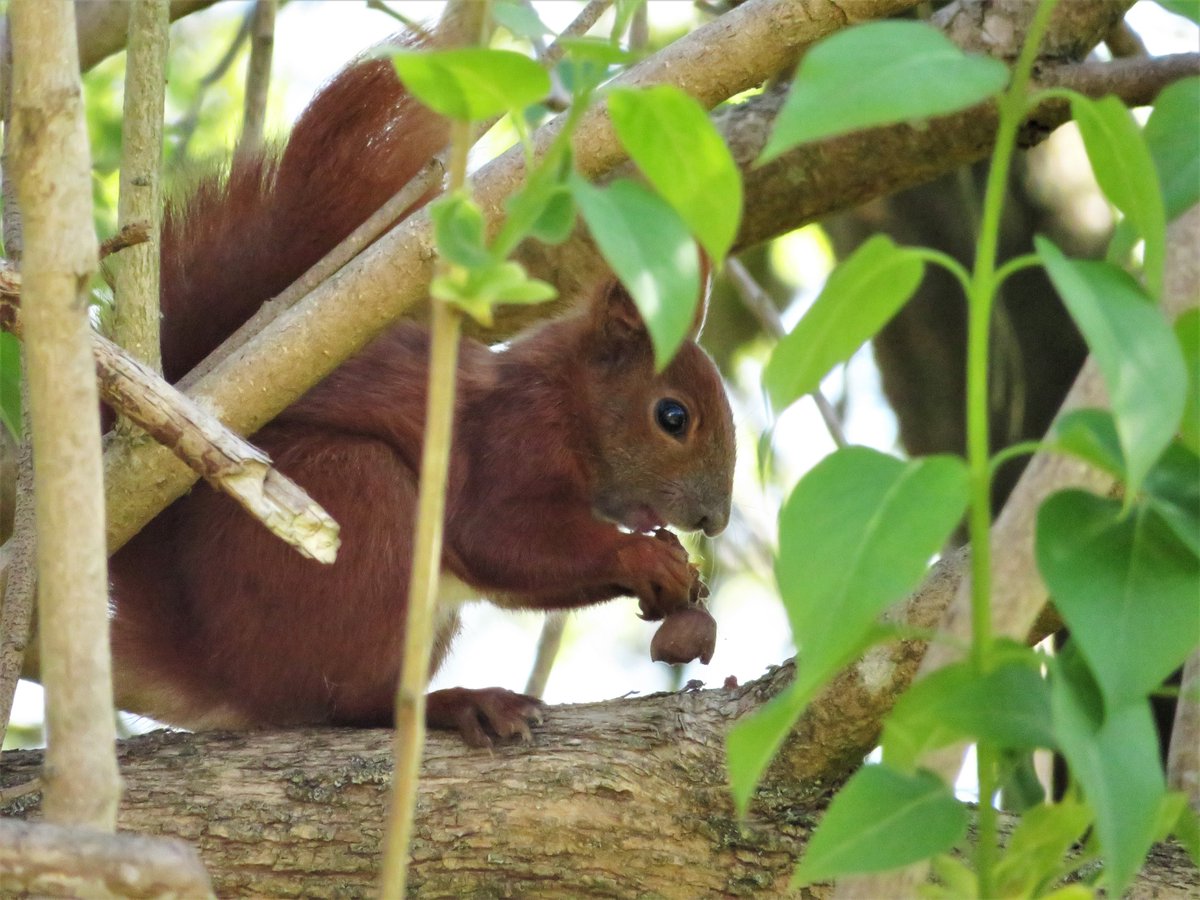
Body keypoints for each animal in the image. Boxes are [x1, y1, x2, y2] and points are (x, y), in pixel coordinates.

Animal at [108, 47, 736, 747]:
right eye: (673, 417)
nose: (715, 521)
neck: (567, 399)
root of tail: (224, 673)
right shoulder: (510, 437)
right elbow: (498, 537)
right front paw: (644, 555)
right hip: (359, 506)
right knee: (353, 704)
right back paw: (460, 703)